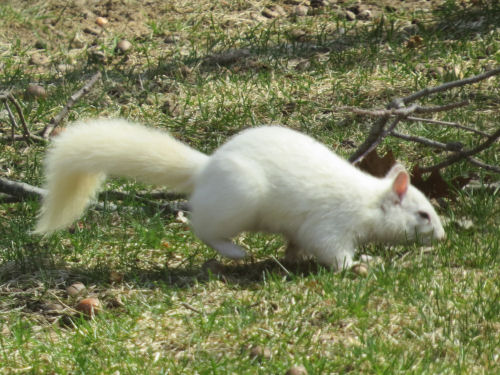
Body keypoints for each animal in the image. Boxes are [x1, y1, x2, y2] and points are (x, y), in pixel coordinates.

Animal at [35, 120, 446, 270]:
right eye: (423, 214)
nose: (442, 237)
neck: (367, 202)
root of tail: (206, 169)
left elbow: (298, 244)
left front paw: (292, 256)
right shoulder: (331, 225)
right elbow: (334, 251)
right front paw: (363, 265)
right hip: (240, 202)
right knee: (203, 229)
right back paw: (236, 252)